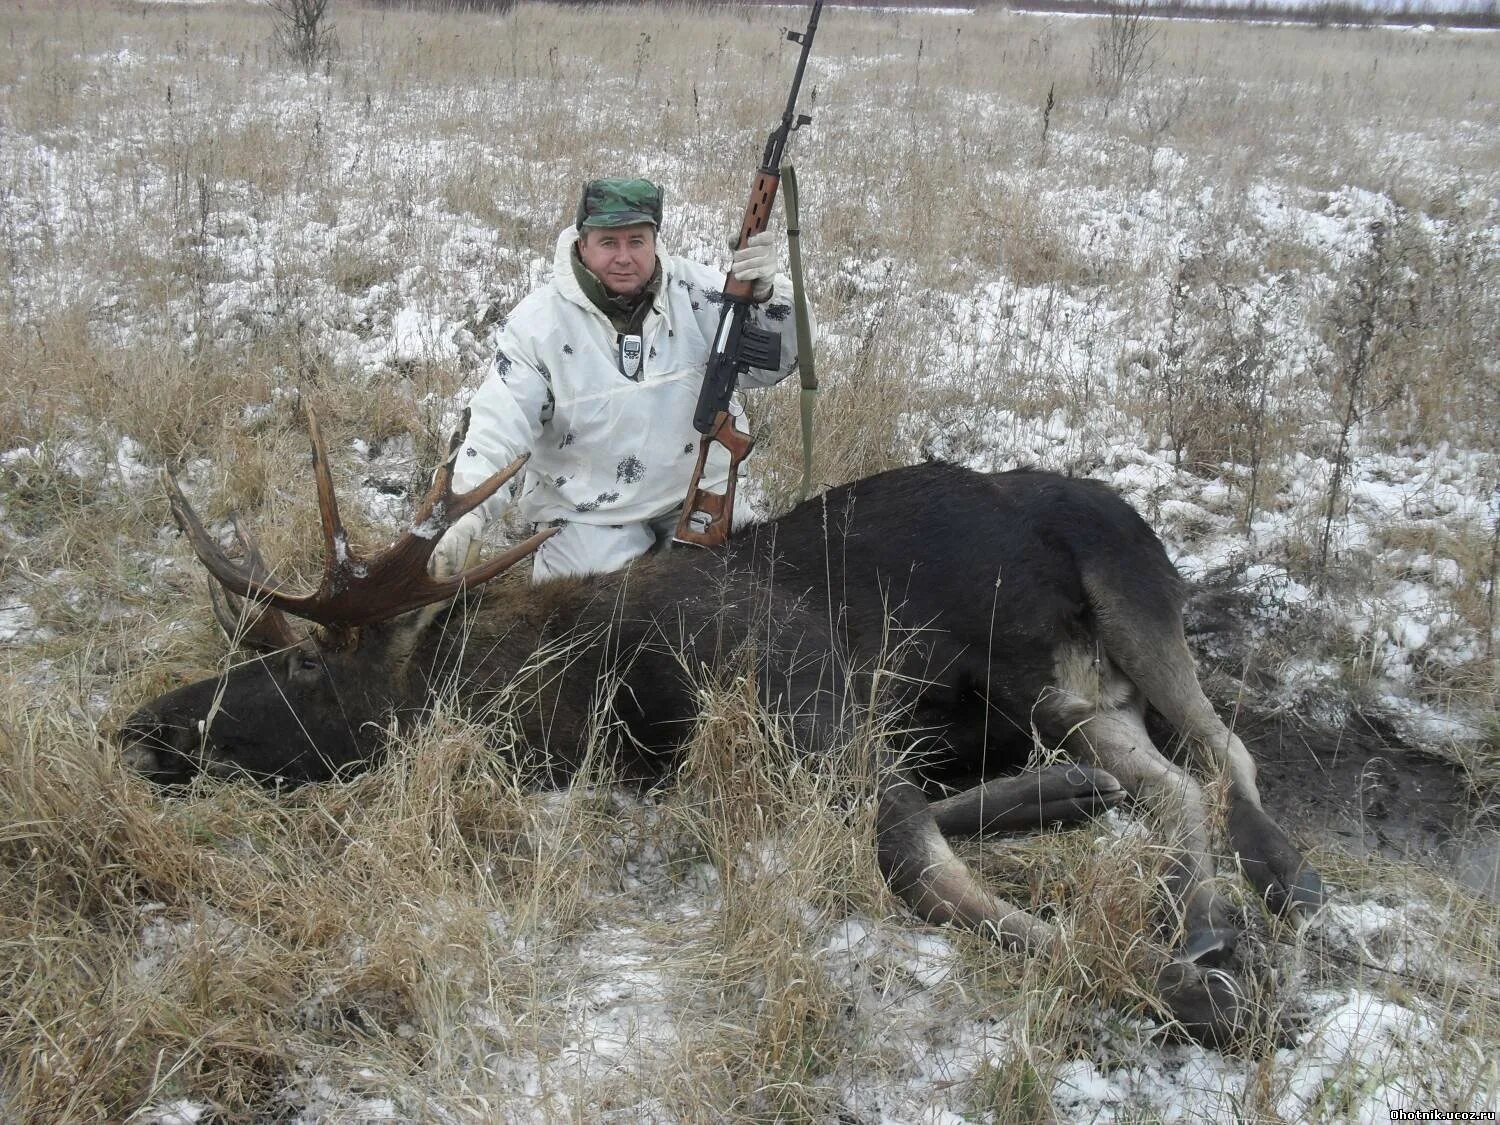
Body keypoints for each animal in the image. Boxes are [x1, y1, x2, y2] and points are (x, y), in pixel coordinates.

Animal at [123, 411, 1332, 1050]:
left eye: (307, 663)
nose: (142, 727)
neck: (577, 698)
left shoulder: (797, 680)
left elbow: (903, 855)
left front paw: (1176, 990)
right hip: (1065, 691)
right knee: (1160, 779)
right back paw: (1190, 901)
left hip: (1125, 605)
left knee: (1222, 753)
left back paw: (1272, 884)